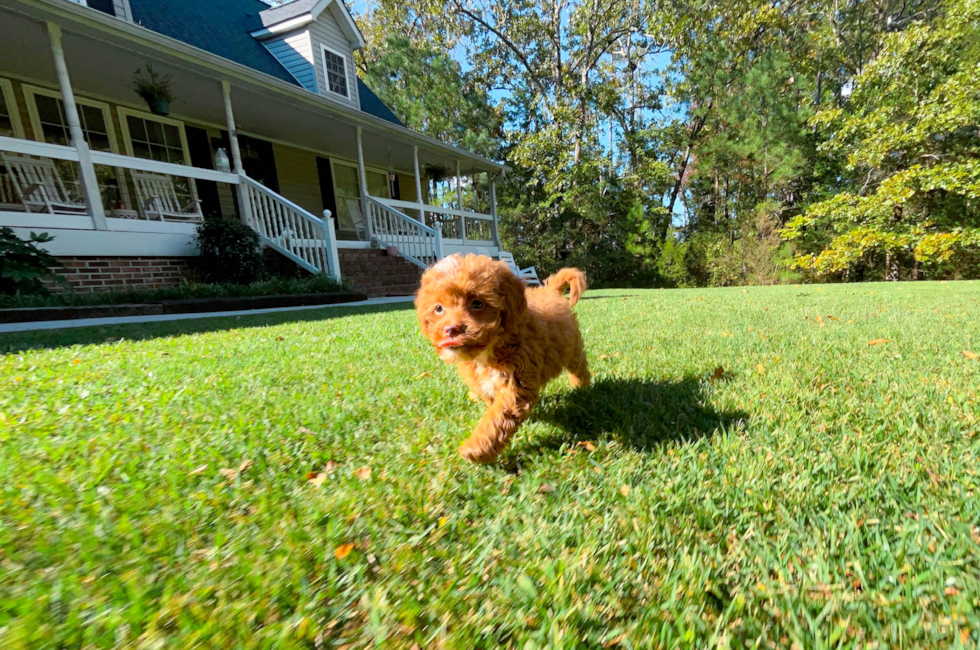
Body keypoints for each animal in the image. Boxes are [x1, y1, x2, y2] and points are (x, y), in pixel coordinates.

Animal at [416, 252, 588, 460]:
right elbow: (494, 408)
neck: (486, 352)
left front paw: (475, 448)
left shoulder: (516, 384)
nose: (450, 329)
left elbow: (497, 416)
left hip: (573, 348)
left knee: (579, 365)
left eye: (477, 304)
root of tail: (550, 291)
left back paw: (582, 386)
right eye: (439, 308)